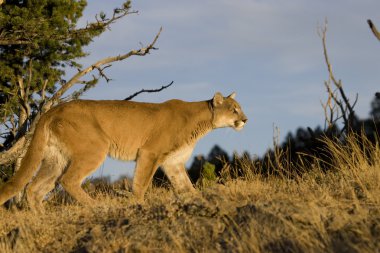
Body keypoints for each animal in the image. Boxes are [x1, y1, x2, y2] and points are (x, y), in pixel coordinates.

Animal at [0, 91, 246, 210]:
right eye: (234, 109)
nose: (245, 119)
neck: (201, 120)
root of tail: (52, 110)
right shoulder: (150, 153)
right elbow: (141, 183)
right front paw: (138, 203)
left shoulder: (173, 162)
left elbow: (186, 187)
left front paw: (198, 200)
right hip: (95, 148)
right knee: (68, 180)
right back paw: (97, 207)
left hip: (56, 158)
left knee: (34, 188)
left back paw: (39, 217)